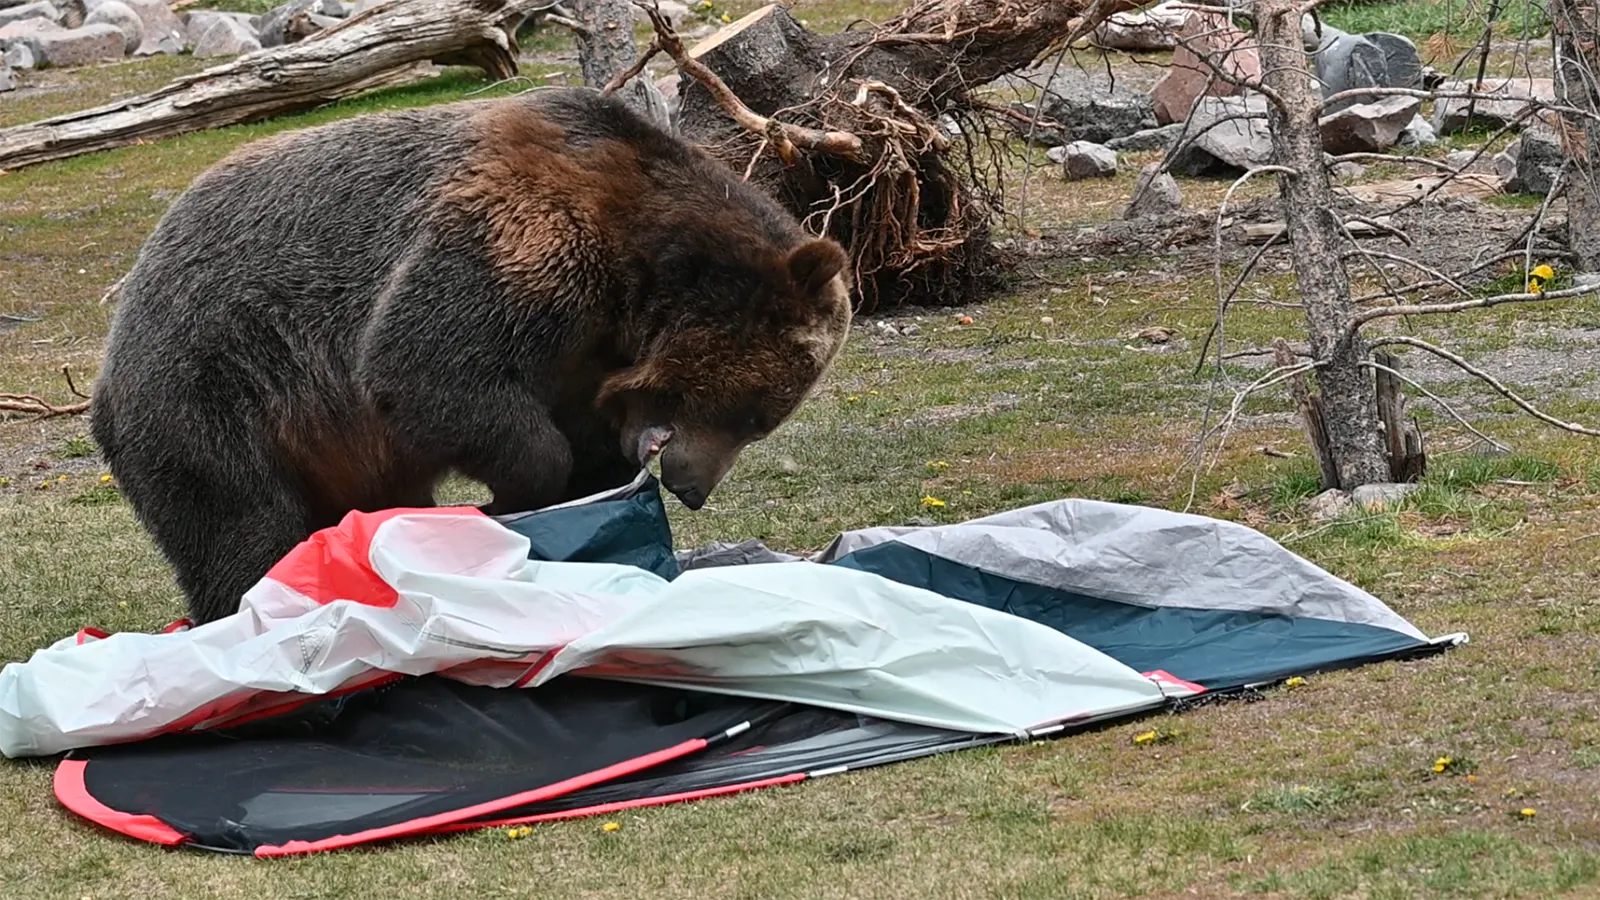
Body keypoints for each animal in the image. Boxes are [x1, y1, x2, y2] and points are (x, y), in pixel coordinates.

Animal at [89, 86, 853, 626]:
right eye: (752, 415)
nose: (693, 489)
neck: (635, 273)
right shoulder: (520, 240)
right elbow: (426, 370)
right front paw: (515, 498)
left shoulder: (585, 351)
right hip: (212, 387)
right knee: (239, 524)